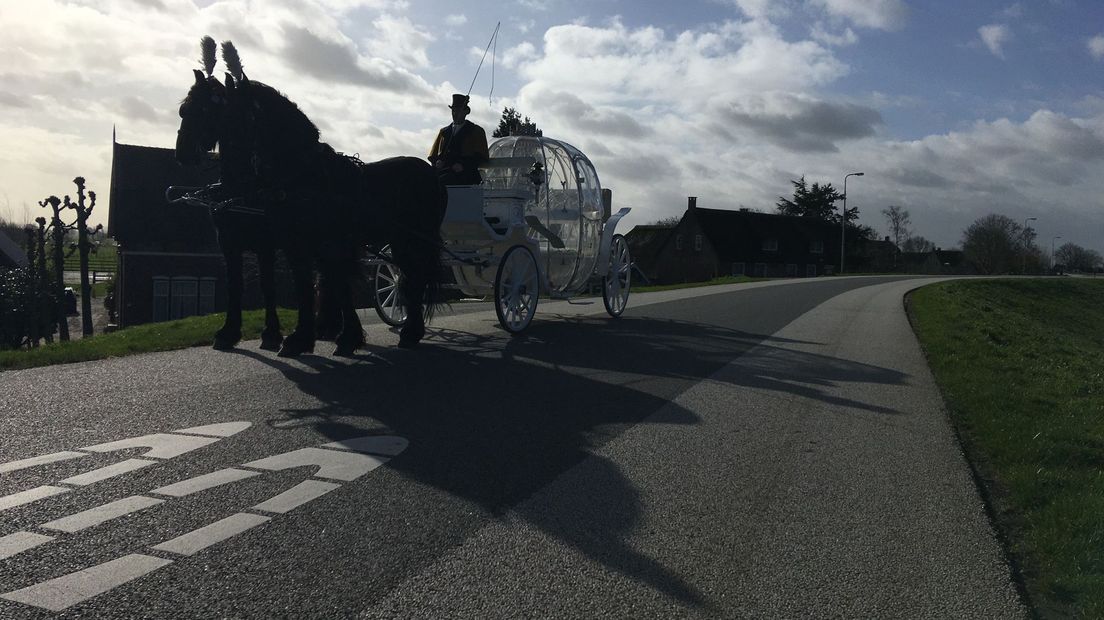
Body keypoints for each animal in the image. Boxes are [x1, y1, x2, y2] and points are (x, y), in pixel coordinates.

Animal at [176, 66, 443, 353]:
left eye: (214, 110)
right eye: (185, 109)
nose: (184, 153)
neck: (302, 175)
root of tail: (428, 171)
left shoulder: (312, 244)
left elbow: (330, 285)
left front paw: (337, 337)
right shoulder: (268, 242)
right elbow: (297, 284)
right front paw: (300, 336)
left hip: (413, 240)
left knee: (413, 278)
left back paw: (410, 332)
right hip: (402, 240)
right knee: (409, 279)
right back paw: (406, 332)